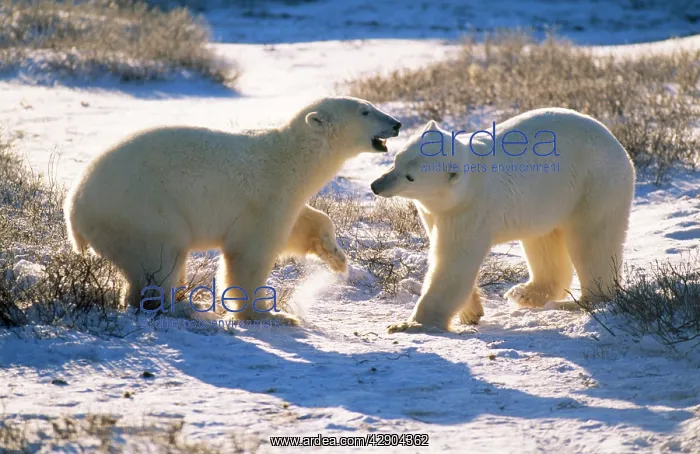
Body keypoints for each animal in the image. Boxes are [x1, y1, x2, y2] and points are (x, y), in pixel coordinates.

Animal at [65, 96, 401, 325]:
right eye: (365, 111)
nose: (396, 124)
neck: (291, 157)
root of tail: (73, 208)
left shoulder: (284, 198)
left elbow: (304, 221)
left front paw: (337, 258)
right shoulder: (264, 195)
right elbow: (249, 253)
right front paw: (269, 314)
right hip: (141, 210)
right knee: (161, 258)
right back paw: (182, 308)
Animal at [370, 107, 635, 333]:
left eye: (410, 177)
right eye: (397, 159)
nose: (376, 185)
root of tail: (619, 147)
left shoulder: (470, 209)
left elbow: (452, 262)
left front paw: (408, 324)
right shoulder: (434, 212)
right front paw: (471, 312)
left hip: (594, 184)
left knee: (592, 242)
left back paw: (579, 301)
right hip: (545, 199)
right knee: (543, 241)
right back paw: (525, 293)